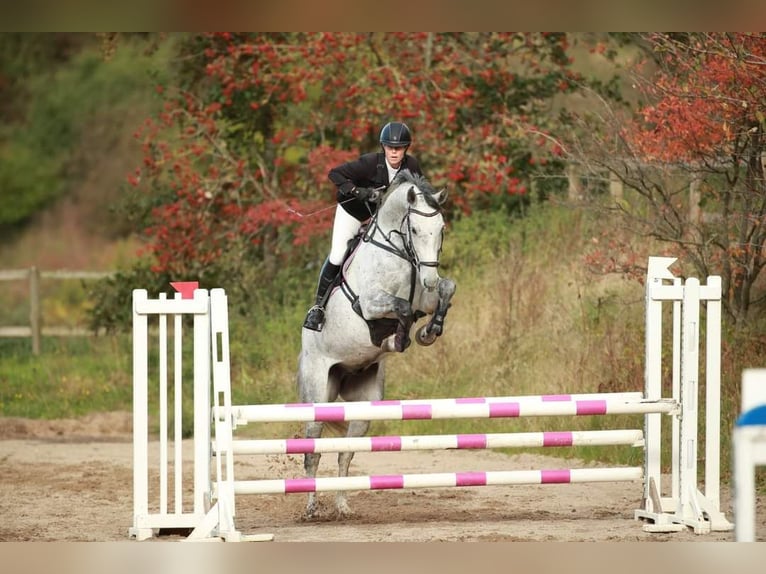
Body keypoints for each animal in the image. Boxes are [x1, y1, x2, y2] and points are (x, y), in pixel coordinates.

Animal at [298, 171, 456, 520]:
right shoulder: (370, 304)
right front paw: (401, 337)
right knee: (312, 454)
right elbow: (400, 307)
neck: (398, 252)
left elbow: (446, 289)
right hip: (317, 394)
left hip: (363, 405)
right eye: (415, 230)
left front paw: (429, 331)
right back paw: (311, 508)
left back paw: (343, 507)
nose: (428, 278)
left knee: (345, 454)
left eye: (441, 229)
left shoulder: (426, 298)